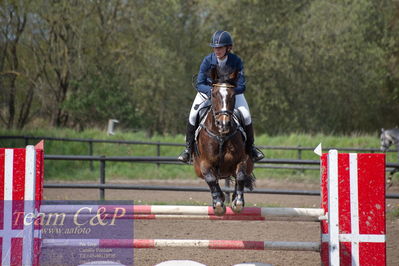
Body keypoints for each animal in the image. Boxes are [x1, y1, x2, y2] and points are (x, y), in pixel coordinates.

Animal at [195, 67, 256, 216]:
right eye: (213, 95)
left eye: (233, 96)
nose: (224, 124)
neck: (221, 135)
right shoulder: (204, 164)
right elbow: (211, 179)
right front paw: (218, 205)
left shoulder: (242, 160)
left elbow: (240, 175)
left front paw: (237, 203)